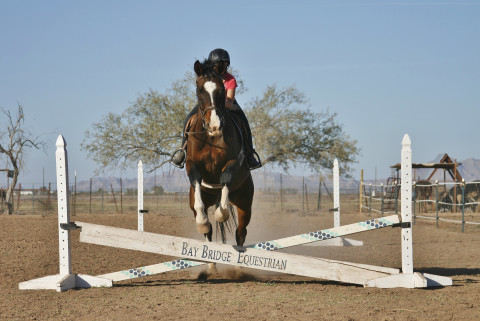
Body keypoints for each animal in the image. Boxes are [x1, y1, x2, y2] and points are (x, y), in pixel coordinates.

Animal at [185, 58, 255, 255]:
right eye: (198, 90)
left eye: (222, 90)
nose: (214, 126)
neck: (211, 137)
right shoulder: (191, 164)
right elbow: (196, 181)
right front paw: (202, 222)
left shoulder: (234, 162)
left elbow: (226, 177)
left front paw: (221, 213)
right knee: (208, 233)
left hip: (244, 203)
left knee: (241, 233)